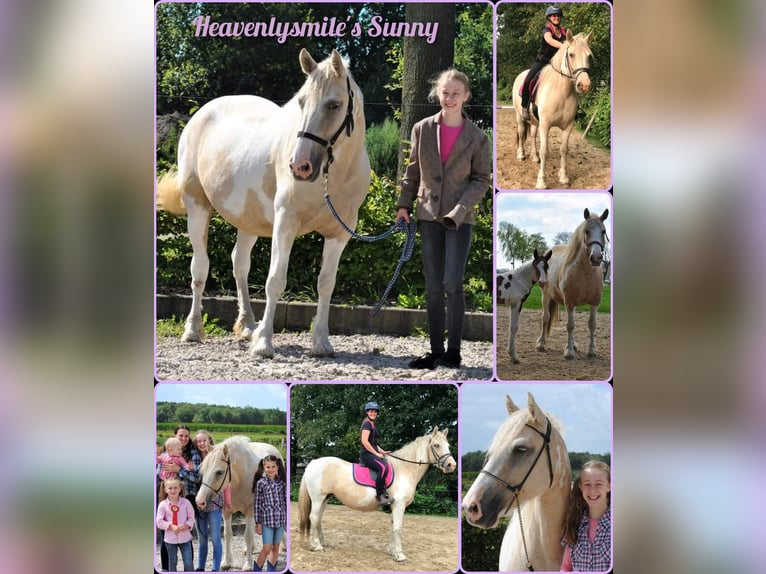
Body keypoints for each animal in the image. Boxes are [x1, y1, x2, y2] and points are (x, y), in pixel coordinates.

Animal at [156, 49, 370, 358]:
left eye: (334, 105)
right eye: (301, 102)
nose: (300, 166)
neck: (332, 177)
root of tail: (200, 115)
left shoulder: (339, 234)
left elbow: (326, 284)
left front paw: (321, 342)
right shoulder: (285, 225)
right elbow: (275, 280)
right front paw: (264, 343)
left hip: (249, 221)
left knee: (239, 264)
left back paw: (247, 325)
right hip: (197, 208)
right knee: (200, 269)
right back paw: (193, 329)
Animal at [195, 436, 283, 571]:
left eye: (219, 472)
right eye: (202, 471)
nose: (199, 501)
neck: (239, 481)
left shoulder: (250, 510)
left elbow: (248, 535)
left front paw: (248, 564)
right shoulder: (226, 511)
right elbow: (227, 534)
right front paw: (226, 561)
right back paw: (250, 548)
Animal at [298, 427, 456, 562]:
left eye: (448, 446)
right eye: (436, 445)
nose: (452, 465)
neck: (404, 470)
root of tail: (312, 463)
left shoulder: (394, 507)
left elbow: (393, 527)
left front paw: (391, 551)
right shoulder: (399, 506)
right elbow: (398, 528)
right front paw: (400, 555)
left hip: (325, 499)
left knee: (318, 519)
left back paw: (322, 542)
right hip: (318, 499)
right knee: (314, 517)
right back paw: (317, 546)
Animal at [511, 30, 593, 189]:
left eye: (589, 56)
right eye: (571, 55)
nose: (584, 85)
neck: (562, 92)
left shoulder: (568, 126)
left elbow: (564, 150)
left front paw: (563, 177)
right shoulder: (545, 125)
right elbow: (544, 151)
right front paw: (541, 181)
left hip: (535, 121)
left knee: (532, 135)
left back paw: (534, 157)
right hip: (519, 116)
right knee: (522, 132)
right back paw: (521, 154)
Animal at [537, 208, 608, 359]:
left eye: (603, 231)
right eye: (586, 231)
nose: (596, 258)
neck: (585, 274)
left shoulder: (595, 302)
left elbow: (592, 324)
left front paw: (591, 350)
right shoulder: (569, 302)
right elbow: (570, 325)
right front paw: (569, 351)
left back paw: (574, 344)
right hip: (545, 296)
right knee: (545, 318)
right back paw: (541, 344)